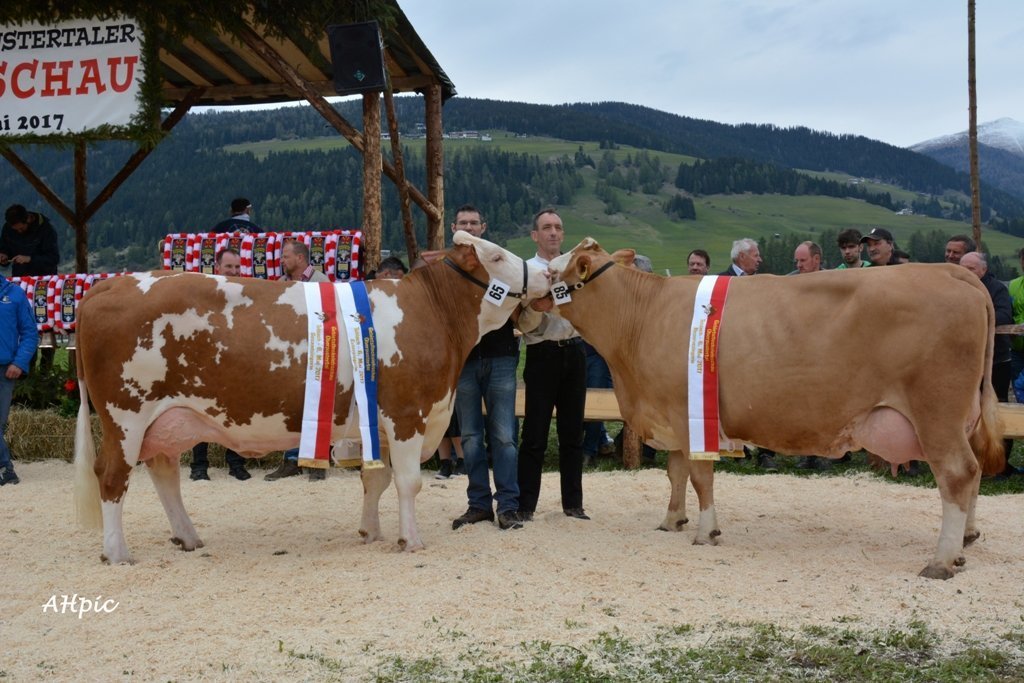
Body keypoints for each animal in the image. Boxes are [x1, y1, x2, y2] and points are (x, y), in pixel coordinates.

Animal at [74, 232, 552, 565]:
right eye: (495, 257)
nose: (547, 274)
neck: (431, 314)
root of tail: (107, 286)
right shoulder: (406, 414)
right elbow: (407, 481)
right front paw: (410, 540)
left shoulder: (379, 422)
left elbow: (375, 479)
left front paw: (371, 532)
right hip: (126, 416)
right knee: (112, 477)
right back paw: (117, 553)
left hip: (168, 420)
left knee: (163, 473)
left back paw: (188, 537)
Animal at [548, 237, 1003, 581]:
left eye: (552, 275)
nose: (535, 296)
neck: (642, 317)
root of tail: (951, 271)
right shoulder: (672, 417)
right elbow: (675, 473)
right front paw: (671, 521)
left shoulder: (690, 413)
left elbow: (699, 477)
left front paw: (706, 532)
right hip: (961, 418)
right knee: (975, 470)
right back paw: (964, 543)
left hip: (935, 413)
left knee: (957, 472)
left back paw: (940, 562)